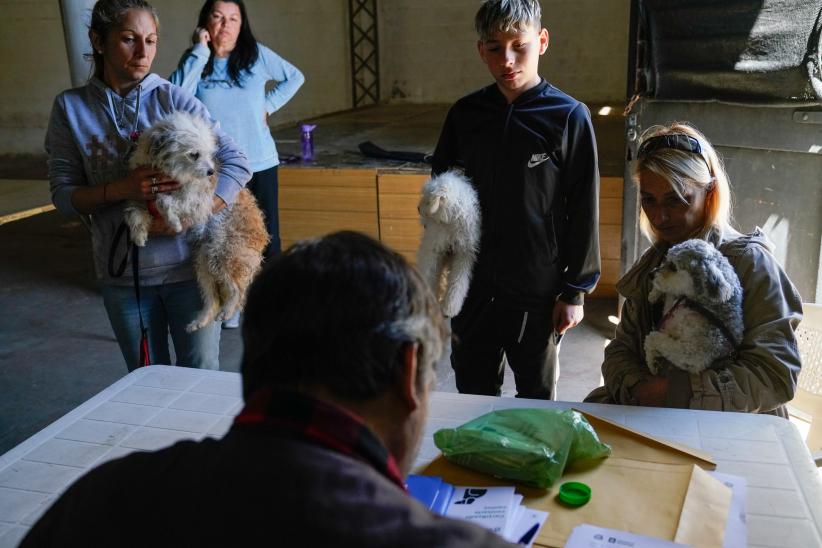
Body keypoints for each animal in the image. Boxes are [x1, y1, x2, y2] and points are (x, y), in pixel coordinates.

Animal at [125, 111, 268, 332]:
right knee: (213, 299)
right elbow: (135, 212)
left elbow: (163, 201)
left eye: (210, 153)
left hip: (222, 252)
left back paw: (228, 310)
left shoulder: (200, 200)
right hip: (204, 260)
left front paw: (173, 221)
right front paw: (139, 234)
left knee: (239, 291)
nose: (210, 172)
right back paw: (200, 321)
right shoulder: (139, 193)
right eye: (194, 154)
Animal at [418, 171, 482, 316]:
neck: (451, 223)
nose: (417, 208)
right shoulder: (432, 251)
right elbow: (428, 274)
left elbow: (458, 282)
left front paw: (450, 307)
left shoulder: (464, 255)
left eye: (427, 200)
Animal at [648, 238, 744, 374]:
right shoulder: (670, 308)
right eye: (666, 259)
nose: (650, 274)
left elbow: (652, 339)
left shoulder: (693, 356)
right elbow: (669, 292)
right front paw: (653, 294)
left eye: (673, 266)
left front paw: (652, 362)